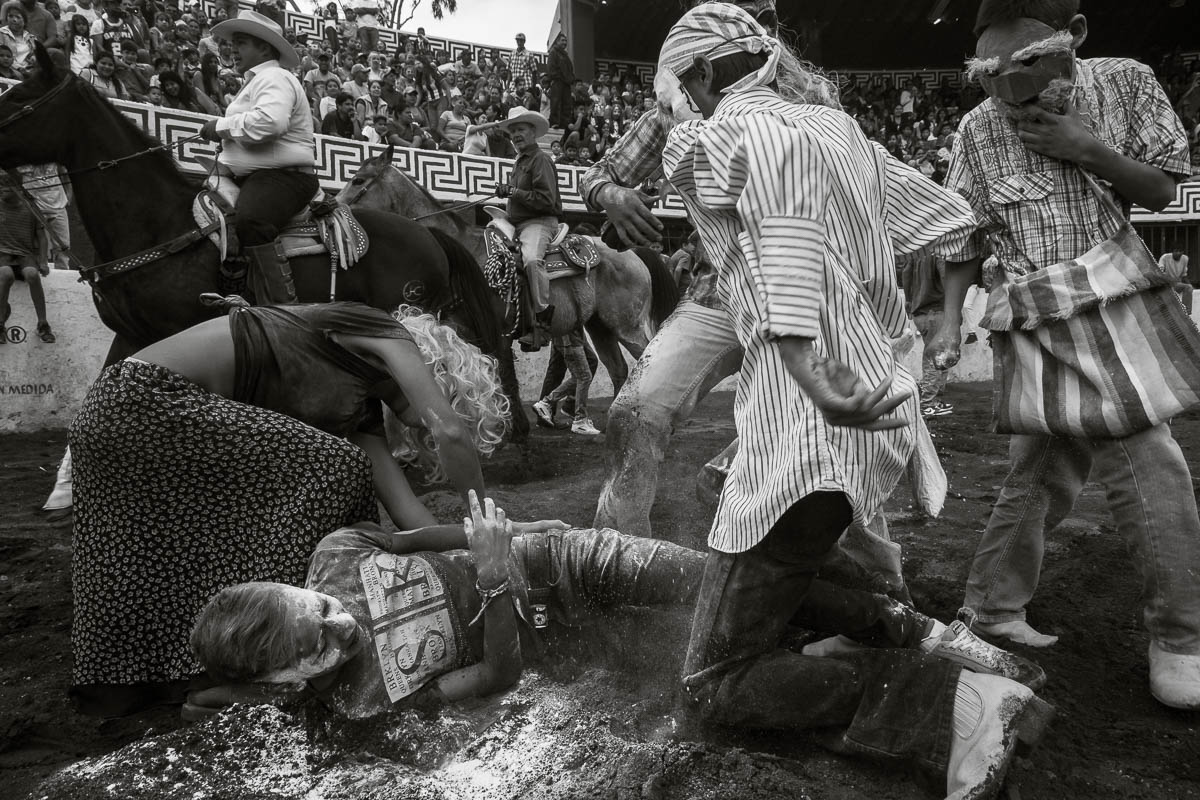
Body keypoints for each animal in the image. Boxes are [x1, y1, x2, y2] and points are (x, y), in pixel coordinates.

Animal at [338, 145, 681, 395]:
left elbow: (504, 383)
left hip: (628, 326)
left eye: (358, 180)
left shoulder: (495, 333)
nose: (330, 205)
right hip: (601, 327)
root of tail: (635, 253)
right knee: (620, 371)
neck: (461, 250)